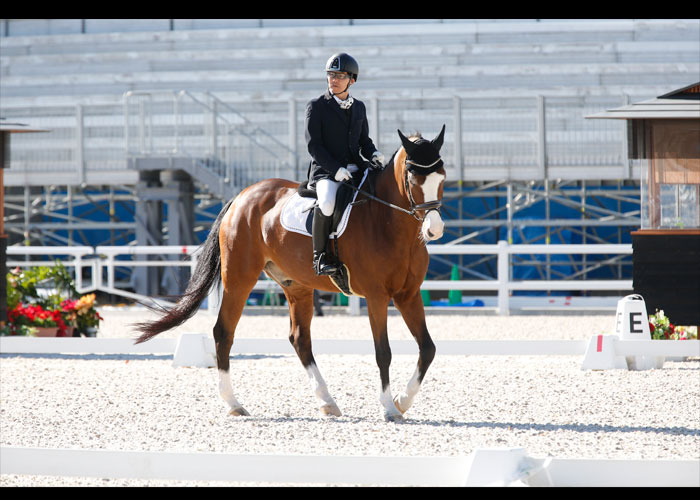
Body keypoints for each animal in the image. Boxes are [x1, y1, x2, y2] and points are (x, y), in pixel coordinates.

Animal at [134, 125, 446, 422]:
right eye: (413, 179)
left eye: (442, 178)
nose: (435, 230)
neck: (388, 223)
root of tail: (241, 196)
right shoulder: (377, 296)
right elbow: (383, 352)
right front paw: (389, 408)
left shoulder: (408, 295)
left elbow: (428, 348)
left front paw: (402, 402)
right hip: (238, 279)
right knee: (223, 331)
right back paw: (234, 404)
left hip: (297, 286)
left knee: (300, 339)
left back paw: (327, 402)